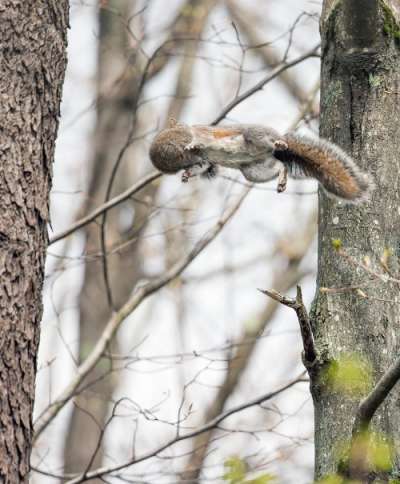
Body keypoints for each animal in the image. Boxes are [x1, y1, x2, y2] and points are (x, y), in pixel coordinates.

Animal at [148, 119, 374, 202]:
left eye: (172, 141)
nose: (183, 167)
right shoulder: (203, 161)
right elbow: (203, 165)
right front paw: (187, 175)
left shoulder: (203, 135)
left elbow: (201, 142)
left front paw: (193, 145)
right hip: (255, 172)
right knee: (281, 166)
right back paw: (282, 179)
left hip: (255, 135)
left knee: (270, 142)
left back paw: (279, 144)